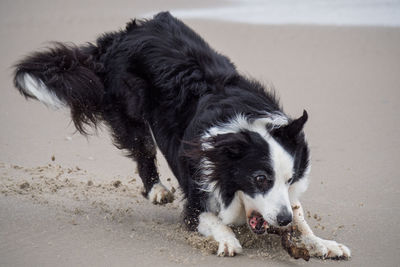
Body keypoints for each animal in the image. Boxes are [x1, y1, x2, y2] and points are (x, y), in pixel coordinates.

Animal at [13, 12, 350, 260]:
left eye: (290, 179)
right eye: (260, 179)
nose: (282, 221)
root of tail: (121, 36)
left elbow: (301, 217)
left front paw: (324, 243)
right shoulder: (197, 193)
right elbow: (206, 218)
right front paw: (227, 240)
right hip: (129, 108)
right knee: (143, 147)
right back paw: (156, 189)